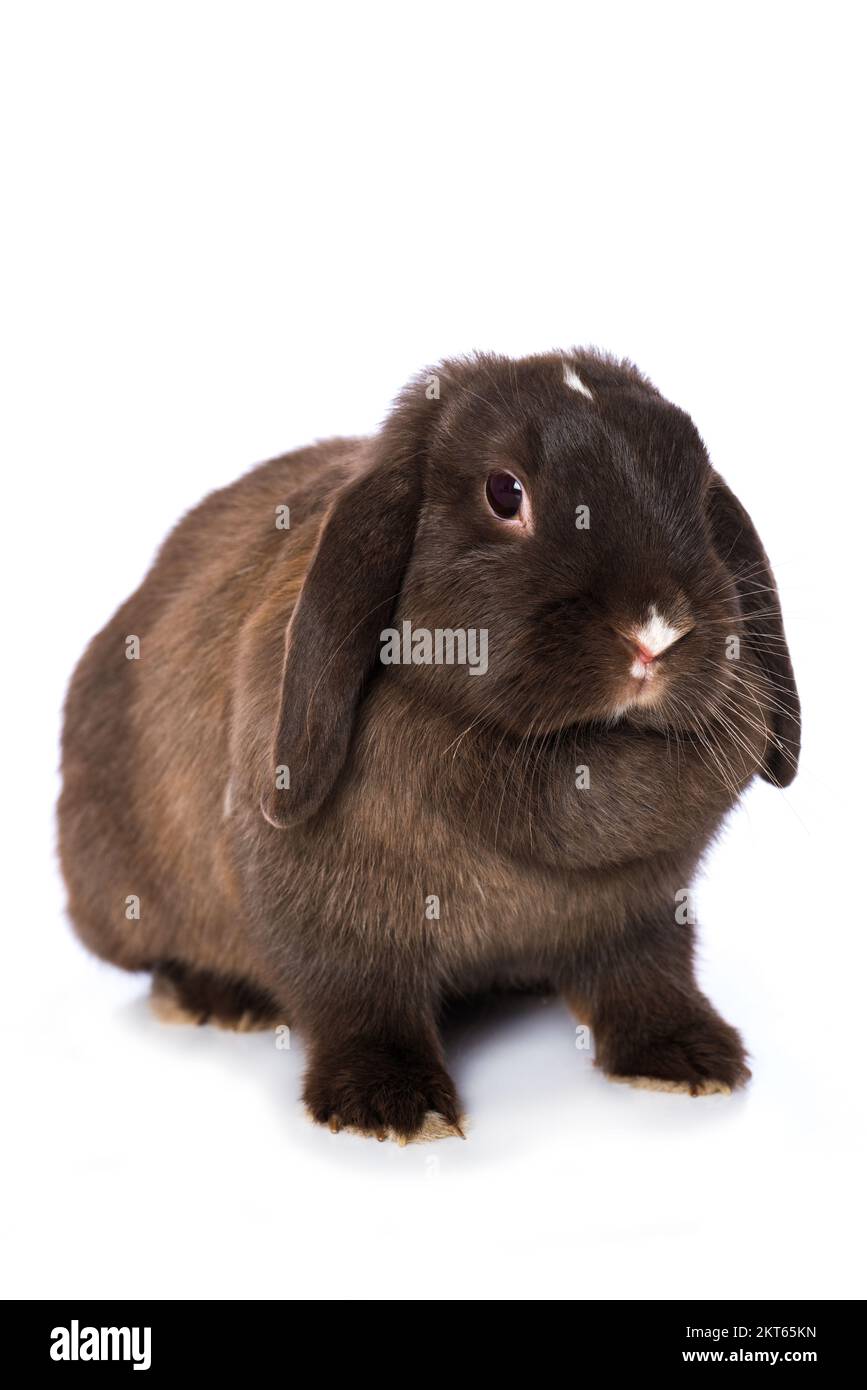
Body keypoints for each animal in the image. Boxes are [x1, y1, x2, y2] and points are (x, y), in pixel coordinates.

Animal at [58, 349, 800, 1142]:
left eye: (695, 489)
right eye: (504, 492)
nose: (655, 632)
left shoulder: (648, 907)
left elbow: (648, 976)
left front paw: (687, 1059)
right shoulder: (330, 918)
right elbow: (357, 1000)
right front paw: (390, 1106)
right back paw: (216, 1000)